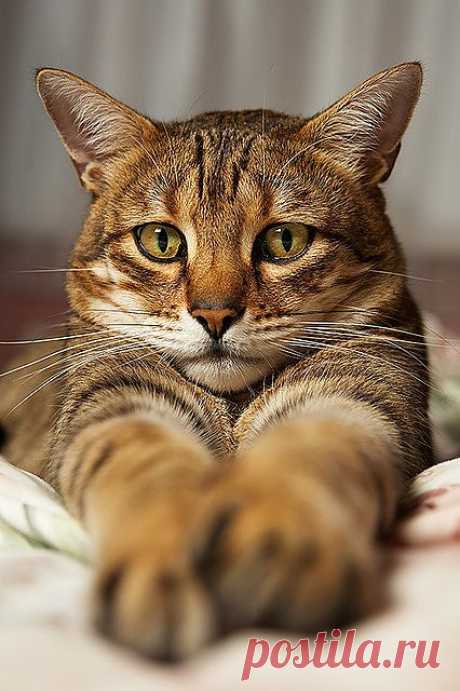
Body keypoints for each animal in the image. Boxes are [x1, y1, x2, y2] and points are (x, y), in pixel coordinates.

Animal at [0, 63, 432, 660]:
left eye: (285, 239)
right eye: (160, 240)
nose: (214, 314)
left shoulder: (356, 394)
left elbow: (311, 452)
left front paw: (282, 541)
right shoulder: (115, 400)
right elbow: (144, 467)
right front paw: (162, 560)